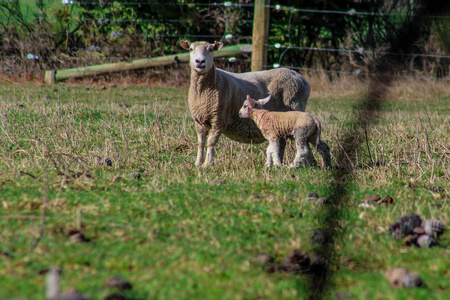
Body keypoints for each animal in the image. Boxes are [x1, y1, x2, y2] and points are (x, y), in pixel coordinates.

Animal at [178, 40, 310, 168]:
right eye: (191, 49)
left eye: (210, 49)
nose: (200, 61)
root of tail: (299, 77)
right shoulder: (198, 120)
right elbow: (201, 143)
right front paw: (197, 163)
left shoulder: (219, 119)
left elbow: (211, 142)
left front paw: (207, 164)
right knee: (282, 143)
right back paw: (279, 162)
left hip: (293, 109)